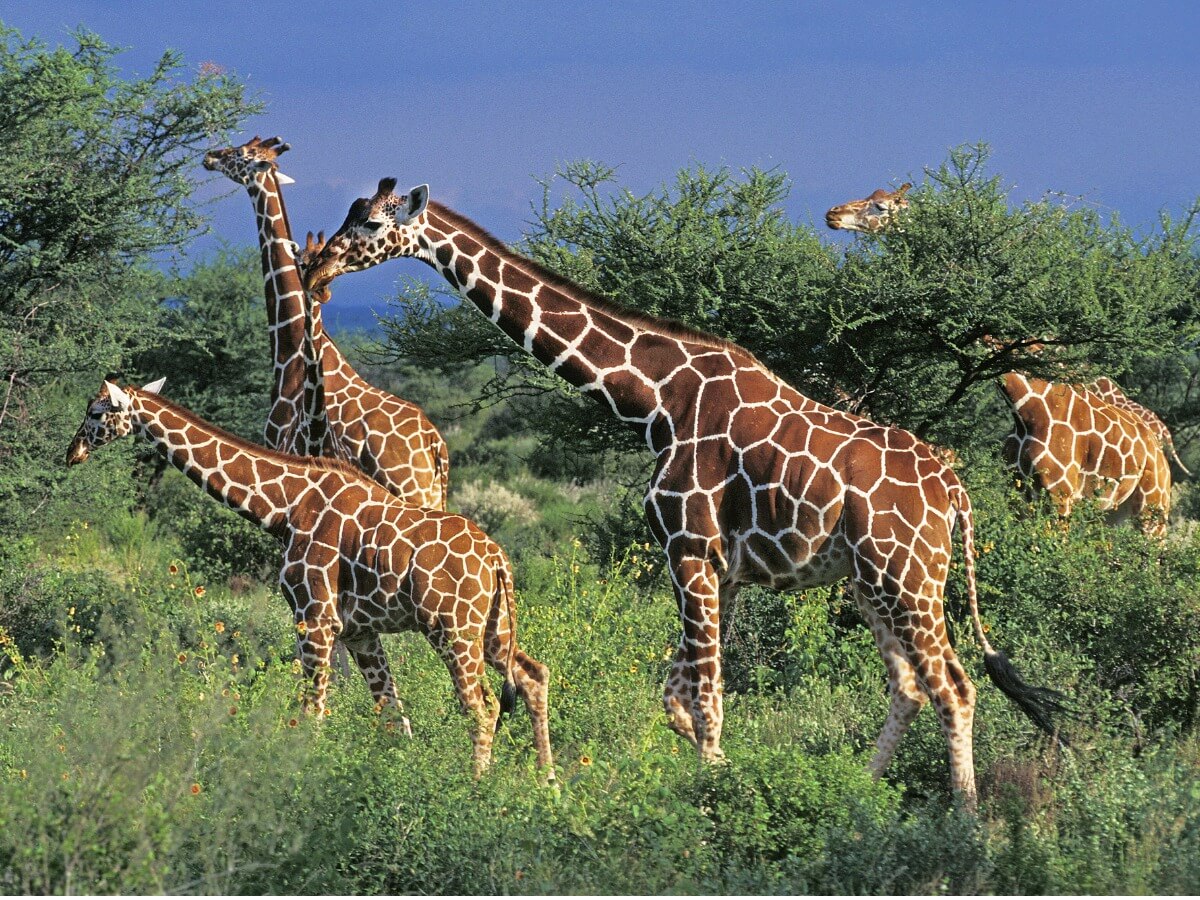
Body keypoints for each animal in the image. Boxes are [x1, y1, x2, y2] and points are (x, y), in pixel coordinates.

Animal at [64, 378, 554, 780]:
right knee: (533, 675)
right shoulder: (358, 631)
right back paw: (547, 786)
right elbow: (393, 718)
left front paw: (301, 782)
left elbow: (311, 715)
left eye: (96, 412)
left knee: (482, 707)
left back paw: (477, 788)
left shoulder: (314, 618)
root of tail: (497, 559)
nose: (72, 453)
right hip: (493, 628)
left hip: (451, 628)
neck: (286, 508)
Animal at [201, 137, 450, 509]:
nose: (210, 156)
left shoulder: (276, 445)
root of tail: (436, 449)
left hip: (410, 491)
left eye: (241, 154)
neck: (288, 352)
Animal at [301, 179, 1065, 806]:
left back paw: (966, 819)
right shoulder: (720, 568)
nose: (319, 265)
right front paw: (720, 777)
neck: (656, 401)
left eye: (372, 222)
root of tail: (955, 490)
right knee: (909, 687)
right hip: (869, 580)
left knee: (954, 688)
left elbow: (706, 700)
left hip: (906, 575)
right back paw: (857, 794)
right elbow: (680, 699)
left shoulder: (689, 548)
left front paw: (713, 796)